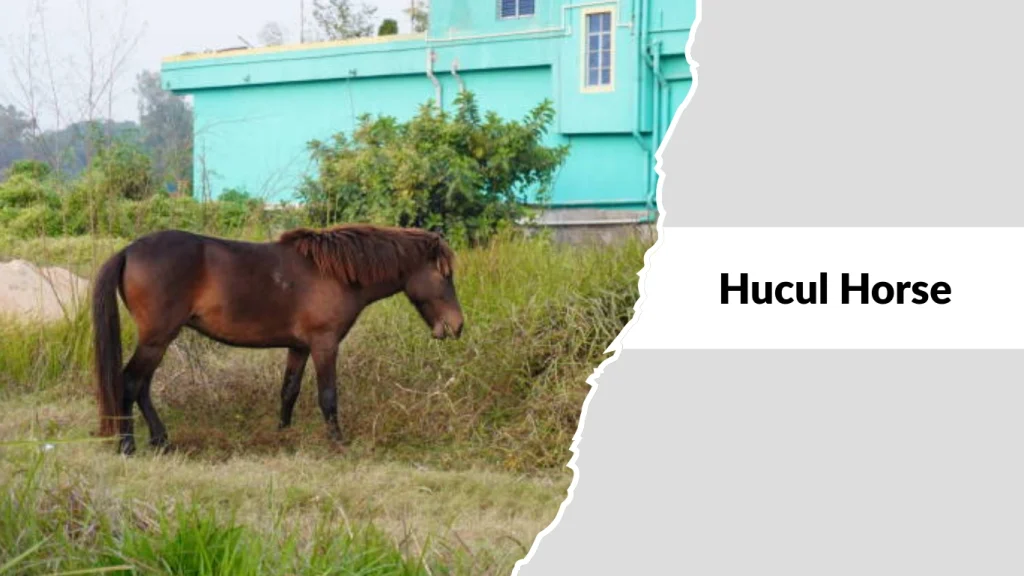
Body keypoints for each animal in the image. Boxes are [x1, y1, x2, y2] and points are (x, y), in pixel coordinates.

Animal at [91, 224, 464, 455]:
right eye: (444, 275)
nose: (457, 326)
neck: (335, 273)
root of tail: (129, 250)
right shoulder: (324, 344)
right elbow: (328, 396)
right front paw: (338, 442)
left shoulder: (298, 348)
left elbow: (289, 391)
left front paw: (283, 435)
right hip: (157, 339)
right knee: (129, 382)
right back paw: (128, 445)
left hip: (159, 340)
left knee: (142, 386)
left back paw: (160, 439)